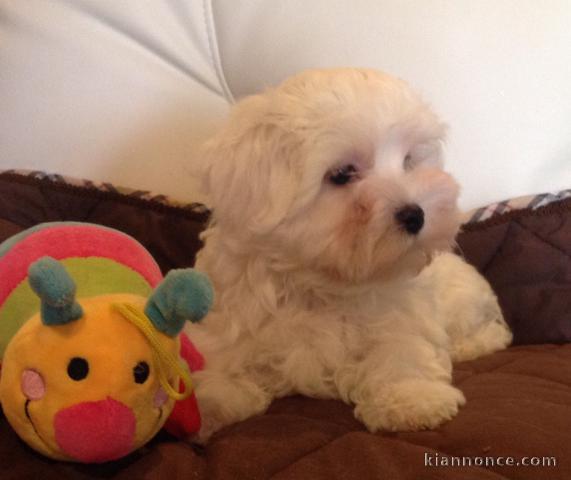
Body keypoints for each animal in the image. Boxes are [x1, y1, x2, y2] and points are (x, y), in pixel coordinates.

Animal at [189, 68, 512, 442]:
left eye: (408, 162)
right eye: (342, 174)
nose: (415, 214)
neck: (318, 284)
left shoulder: (401, 314)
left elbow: (401, 349)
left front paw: (412, 399)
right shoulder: (233, 320)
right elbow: (218, 362)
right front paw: (208, 403)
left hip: (465, 304)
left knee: (492, 334)